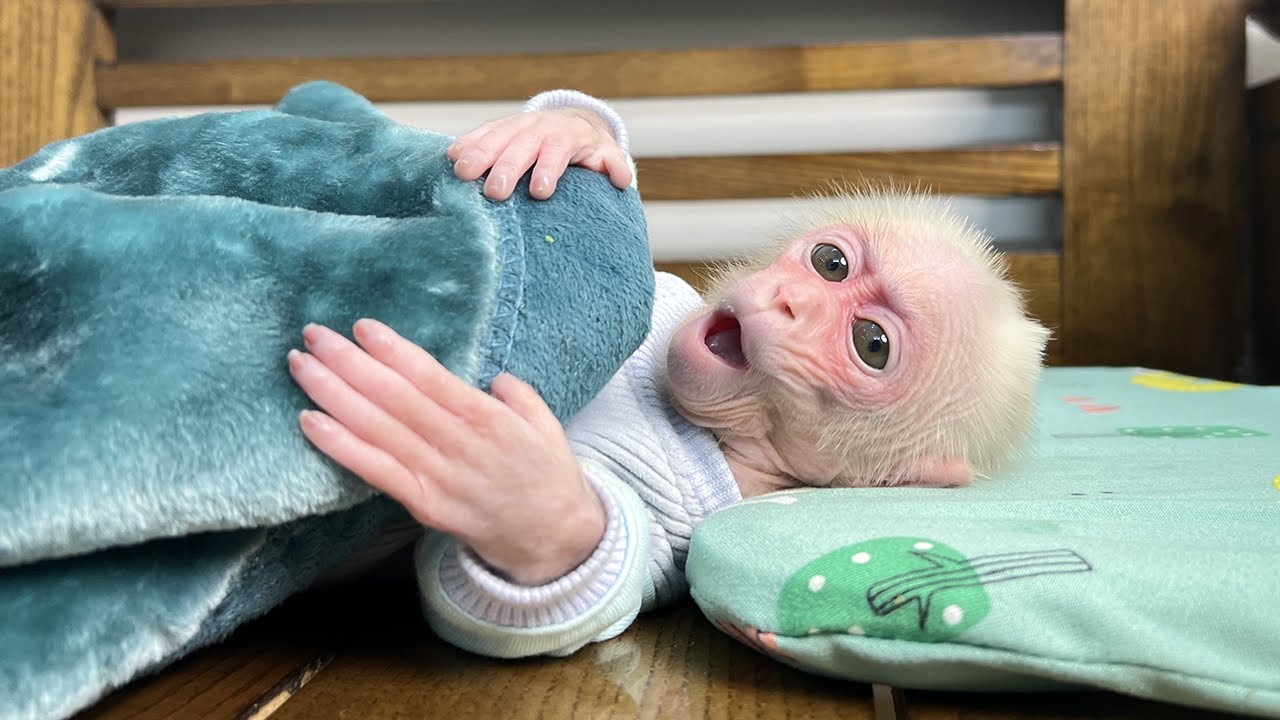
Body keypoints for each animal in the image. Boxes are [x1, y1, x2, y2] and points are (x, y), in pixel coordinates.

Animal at [287, 90, 1050, 658]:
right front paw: (568, 130)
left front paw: (509, 485)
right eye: (830, 263)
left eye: (871, 343)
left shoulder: (684, 525)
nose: (790, 302)